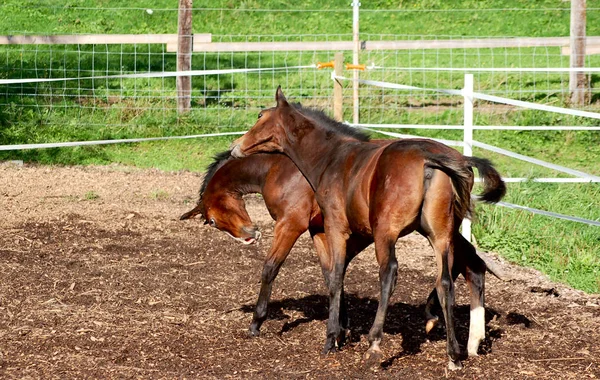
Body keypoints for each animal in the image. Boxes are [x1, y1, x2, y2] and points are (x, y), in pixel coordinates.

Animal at [177, 148, 502, 342]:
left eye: (212, 221)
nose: (249, 234)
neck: (278, 167)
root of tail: (458, 163)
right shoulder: (320, 230)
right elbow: (332, 274)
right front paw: (341, 327)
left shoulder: (292, 224)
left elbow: (271, 268)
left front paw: (257, 323)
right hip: (438, 228)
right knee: (471, 265)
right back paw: (468, 338)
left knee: (465, 265)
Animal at [231, 88, 506, 368]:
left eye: (260, 116)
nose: (235, 147)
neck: (331, 158)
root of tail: (432, 159)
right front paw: (342, 332)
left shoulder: (335, 227)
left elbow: (335, 276)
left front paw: (332, 338)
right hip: (440, 235)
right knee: (447, 281)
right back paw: (454, 352)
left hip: (386, 232)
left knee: (389, 273)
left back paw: (375, 344)